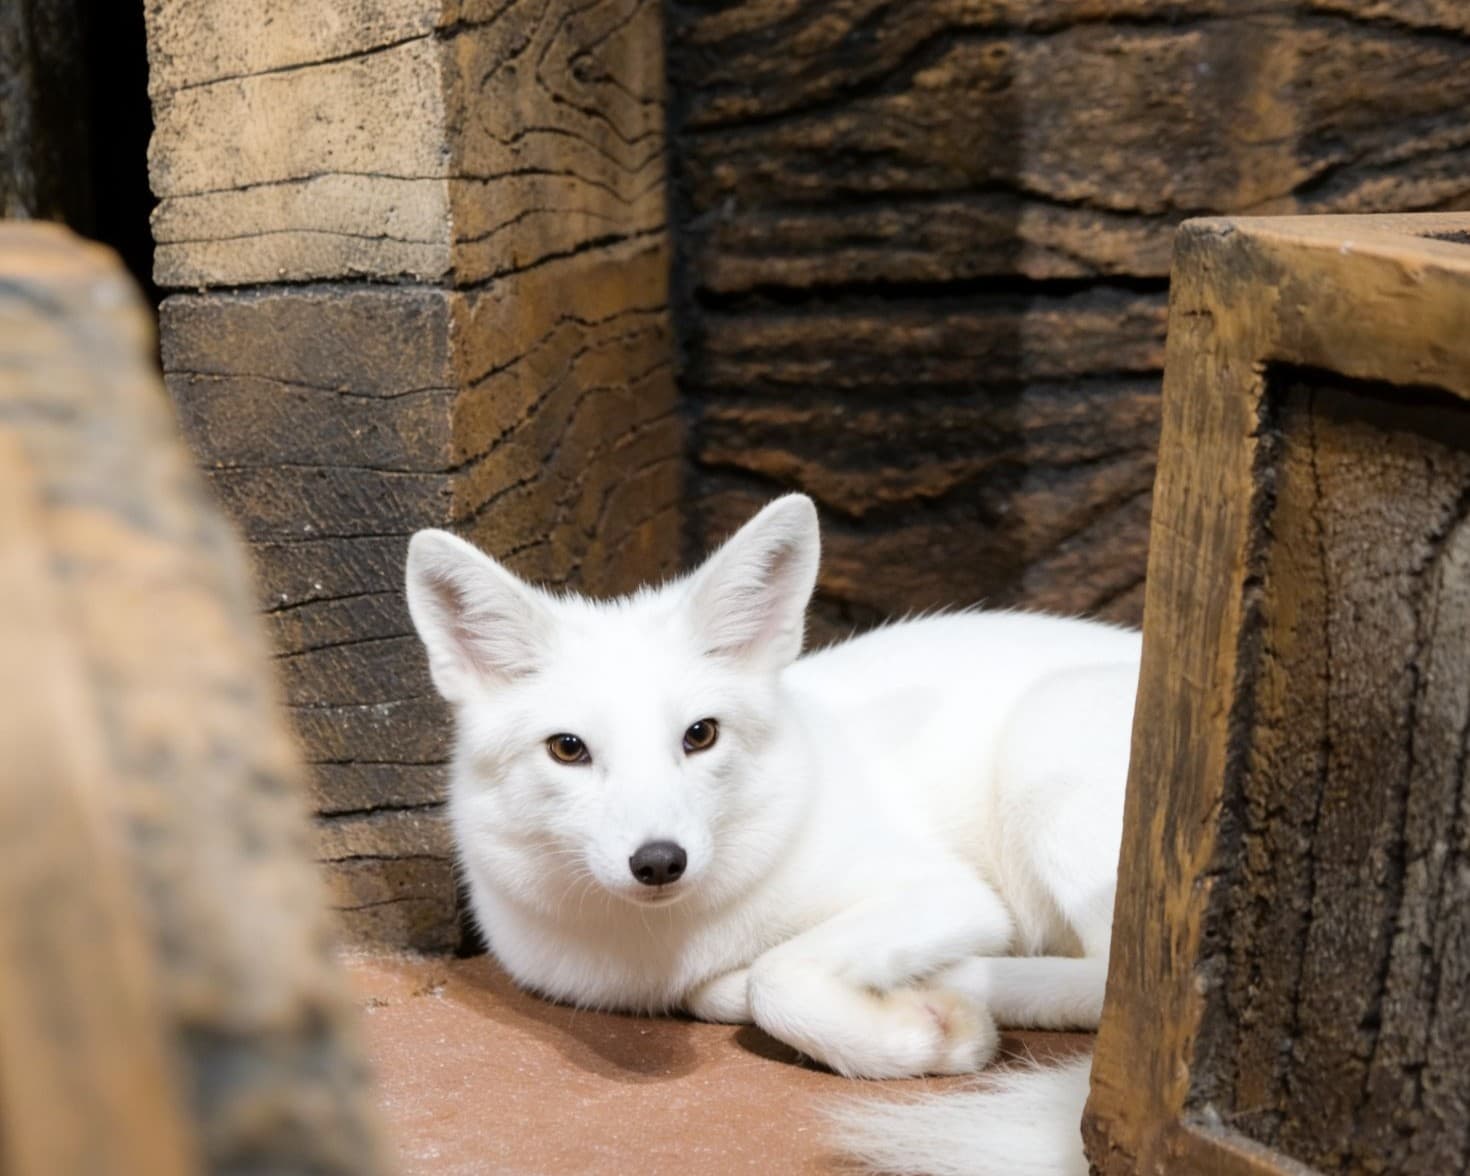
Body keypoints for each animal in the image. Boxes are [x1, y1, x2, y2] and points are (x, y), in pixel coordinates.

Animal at [404, 493, 1138, 1175]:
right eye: (567, 748)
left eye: (700, 734)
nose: (660, 862)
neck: (669, 942)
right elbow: (726, 988)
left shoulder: (949, 893)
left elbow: (770, 978)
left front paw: (923, 1029)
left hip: (1047, 739)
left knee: (1105, 983)